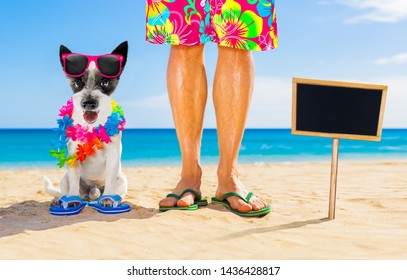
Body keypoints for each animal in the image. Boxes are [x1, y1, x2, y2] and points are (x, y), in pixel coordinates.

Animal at [43, 41, 129, 212]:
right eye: (78, 83)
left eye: (104, 82)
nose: (89, 103)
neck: (91, 126)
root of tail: (92, 192)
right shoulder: (73, 154)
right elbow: (74, 180)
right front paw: (71, 200)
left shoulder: (113, 152)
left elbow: (110, 178)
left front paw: (108, 199)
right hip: (64, 180)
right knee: (67, 191)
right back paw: (59, 200)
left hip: (122, 180)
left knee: (117, 192)